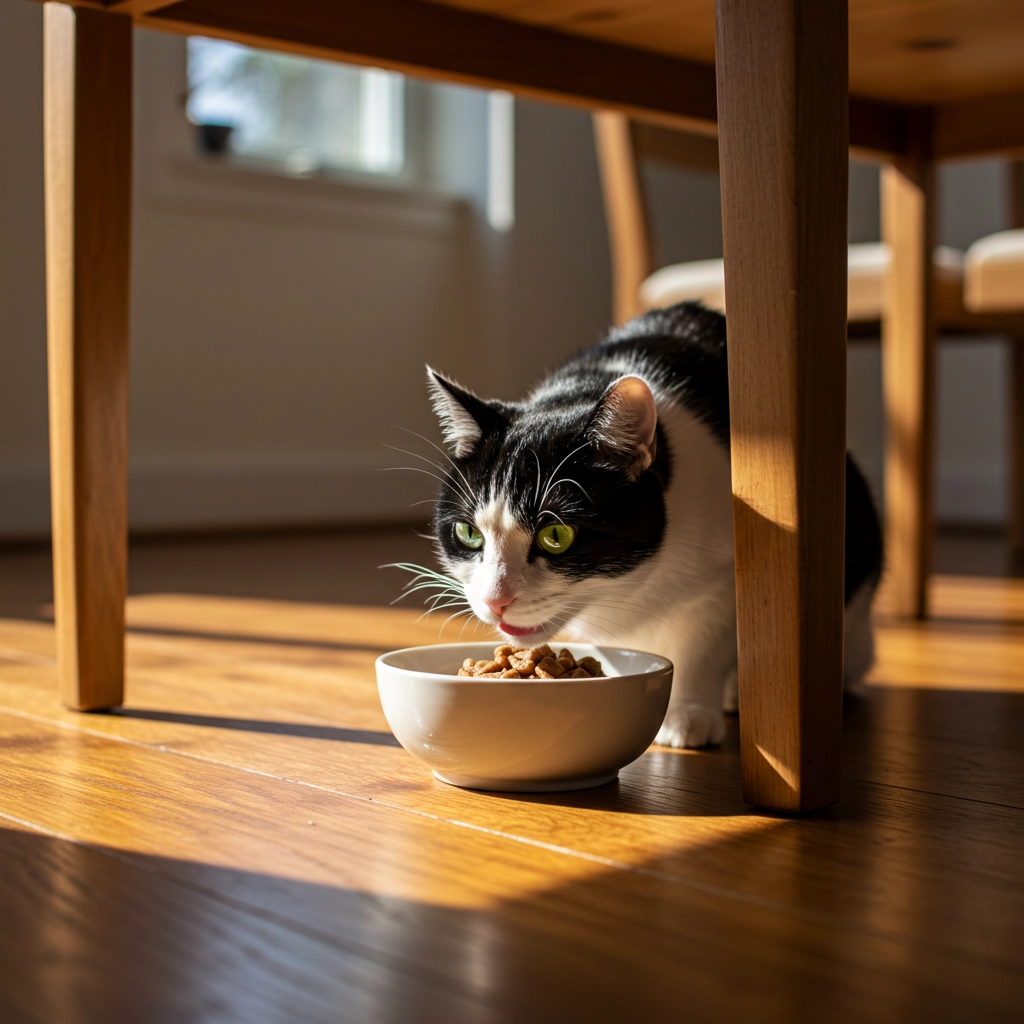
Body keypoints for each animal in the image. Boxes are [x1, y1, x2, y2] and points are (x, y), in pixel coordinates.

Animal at [415, 299, 880, 749]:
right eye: (468, 533)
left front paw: (689, 713)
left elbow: (703, 646)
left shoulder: (723, 578)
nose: (495, 601)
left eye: (556, 535)